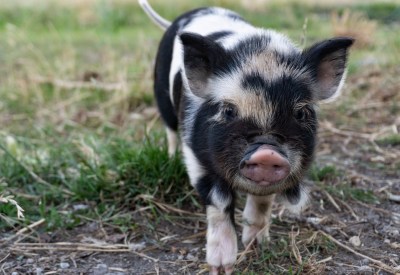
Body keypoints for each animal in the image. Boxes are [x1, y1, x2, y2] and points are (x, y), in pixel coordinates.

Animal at [140, 1, 354, 274]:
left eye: (301, 113)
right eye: (229, 110)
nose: (267, 153)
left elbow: (263, 202)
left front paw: (257, 244)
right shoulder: (195, 158)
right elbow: (219, 205)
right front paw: (222, 267)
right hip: (161, 94)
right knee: (169, 130)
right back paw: (169, 158)